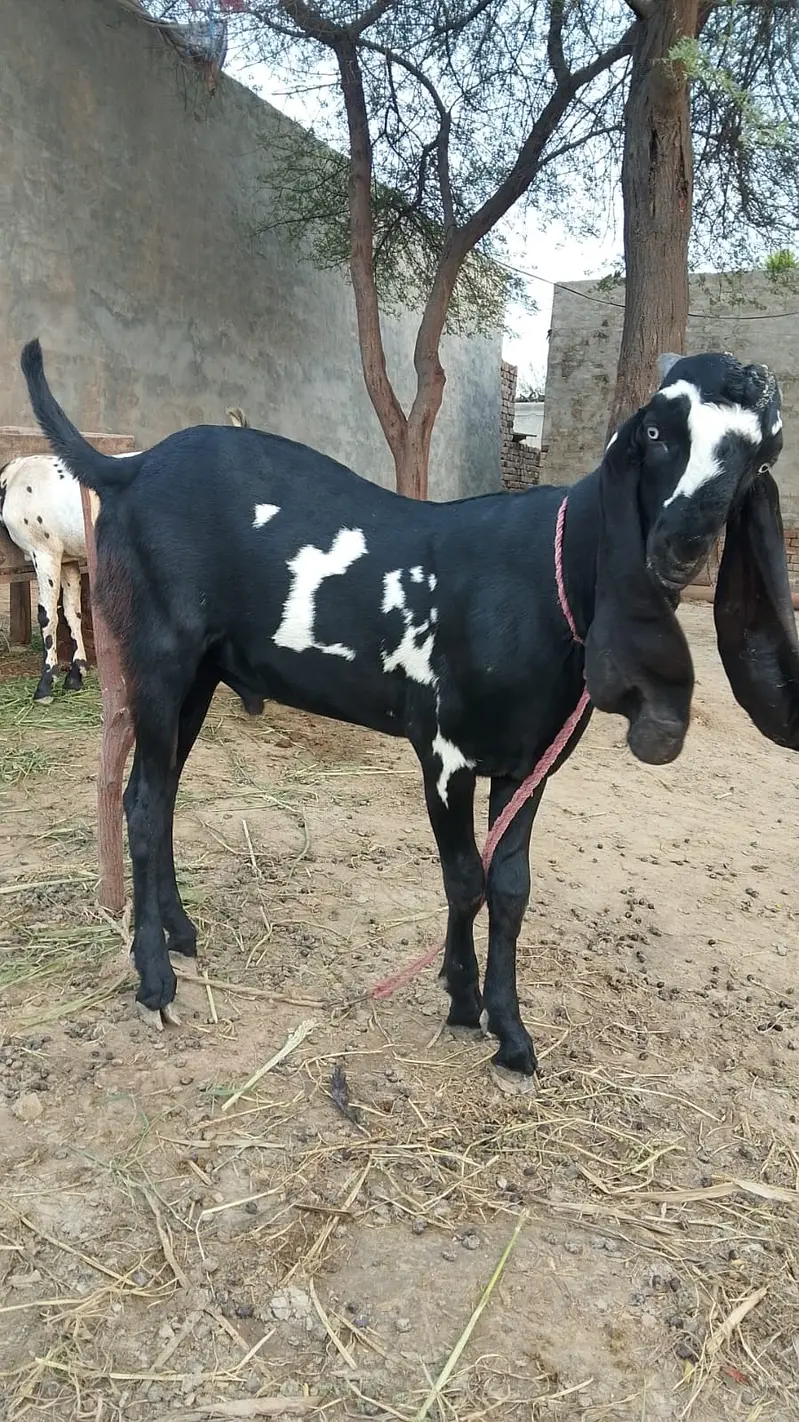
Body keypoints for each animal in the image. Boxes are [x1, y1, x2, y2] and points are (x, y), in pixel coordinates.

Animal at [20, 341, 799, 1071]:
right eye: (658, 431)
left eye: (761, 451)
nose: (679, 545)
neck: (545, 584)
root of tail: (126, 470)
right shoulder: (445, 753)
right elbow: (464, 879)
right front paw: (461, 1001)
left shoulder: (529, 766)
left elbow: (509, 888)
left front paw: (510, 1032)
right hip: (157, 658)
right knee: (147, 804)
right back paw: (154, 983)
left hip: (202, 676)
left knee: (158, 794)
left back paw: (181, 935)